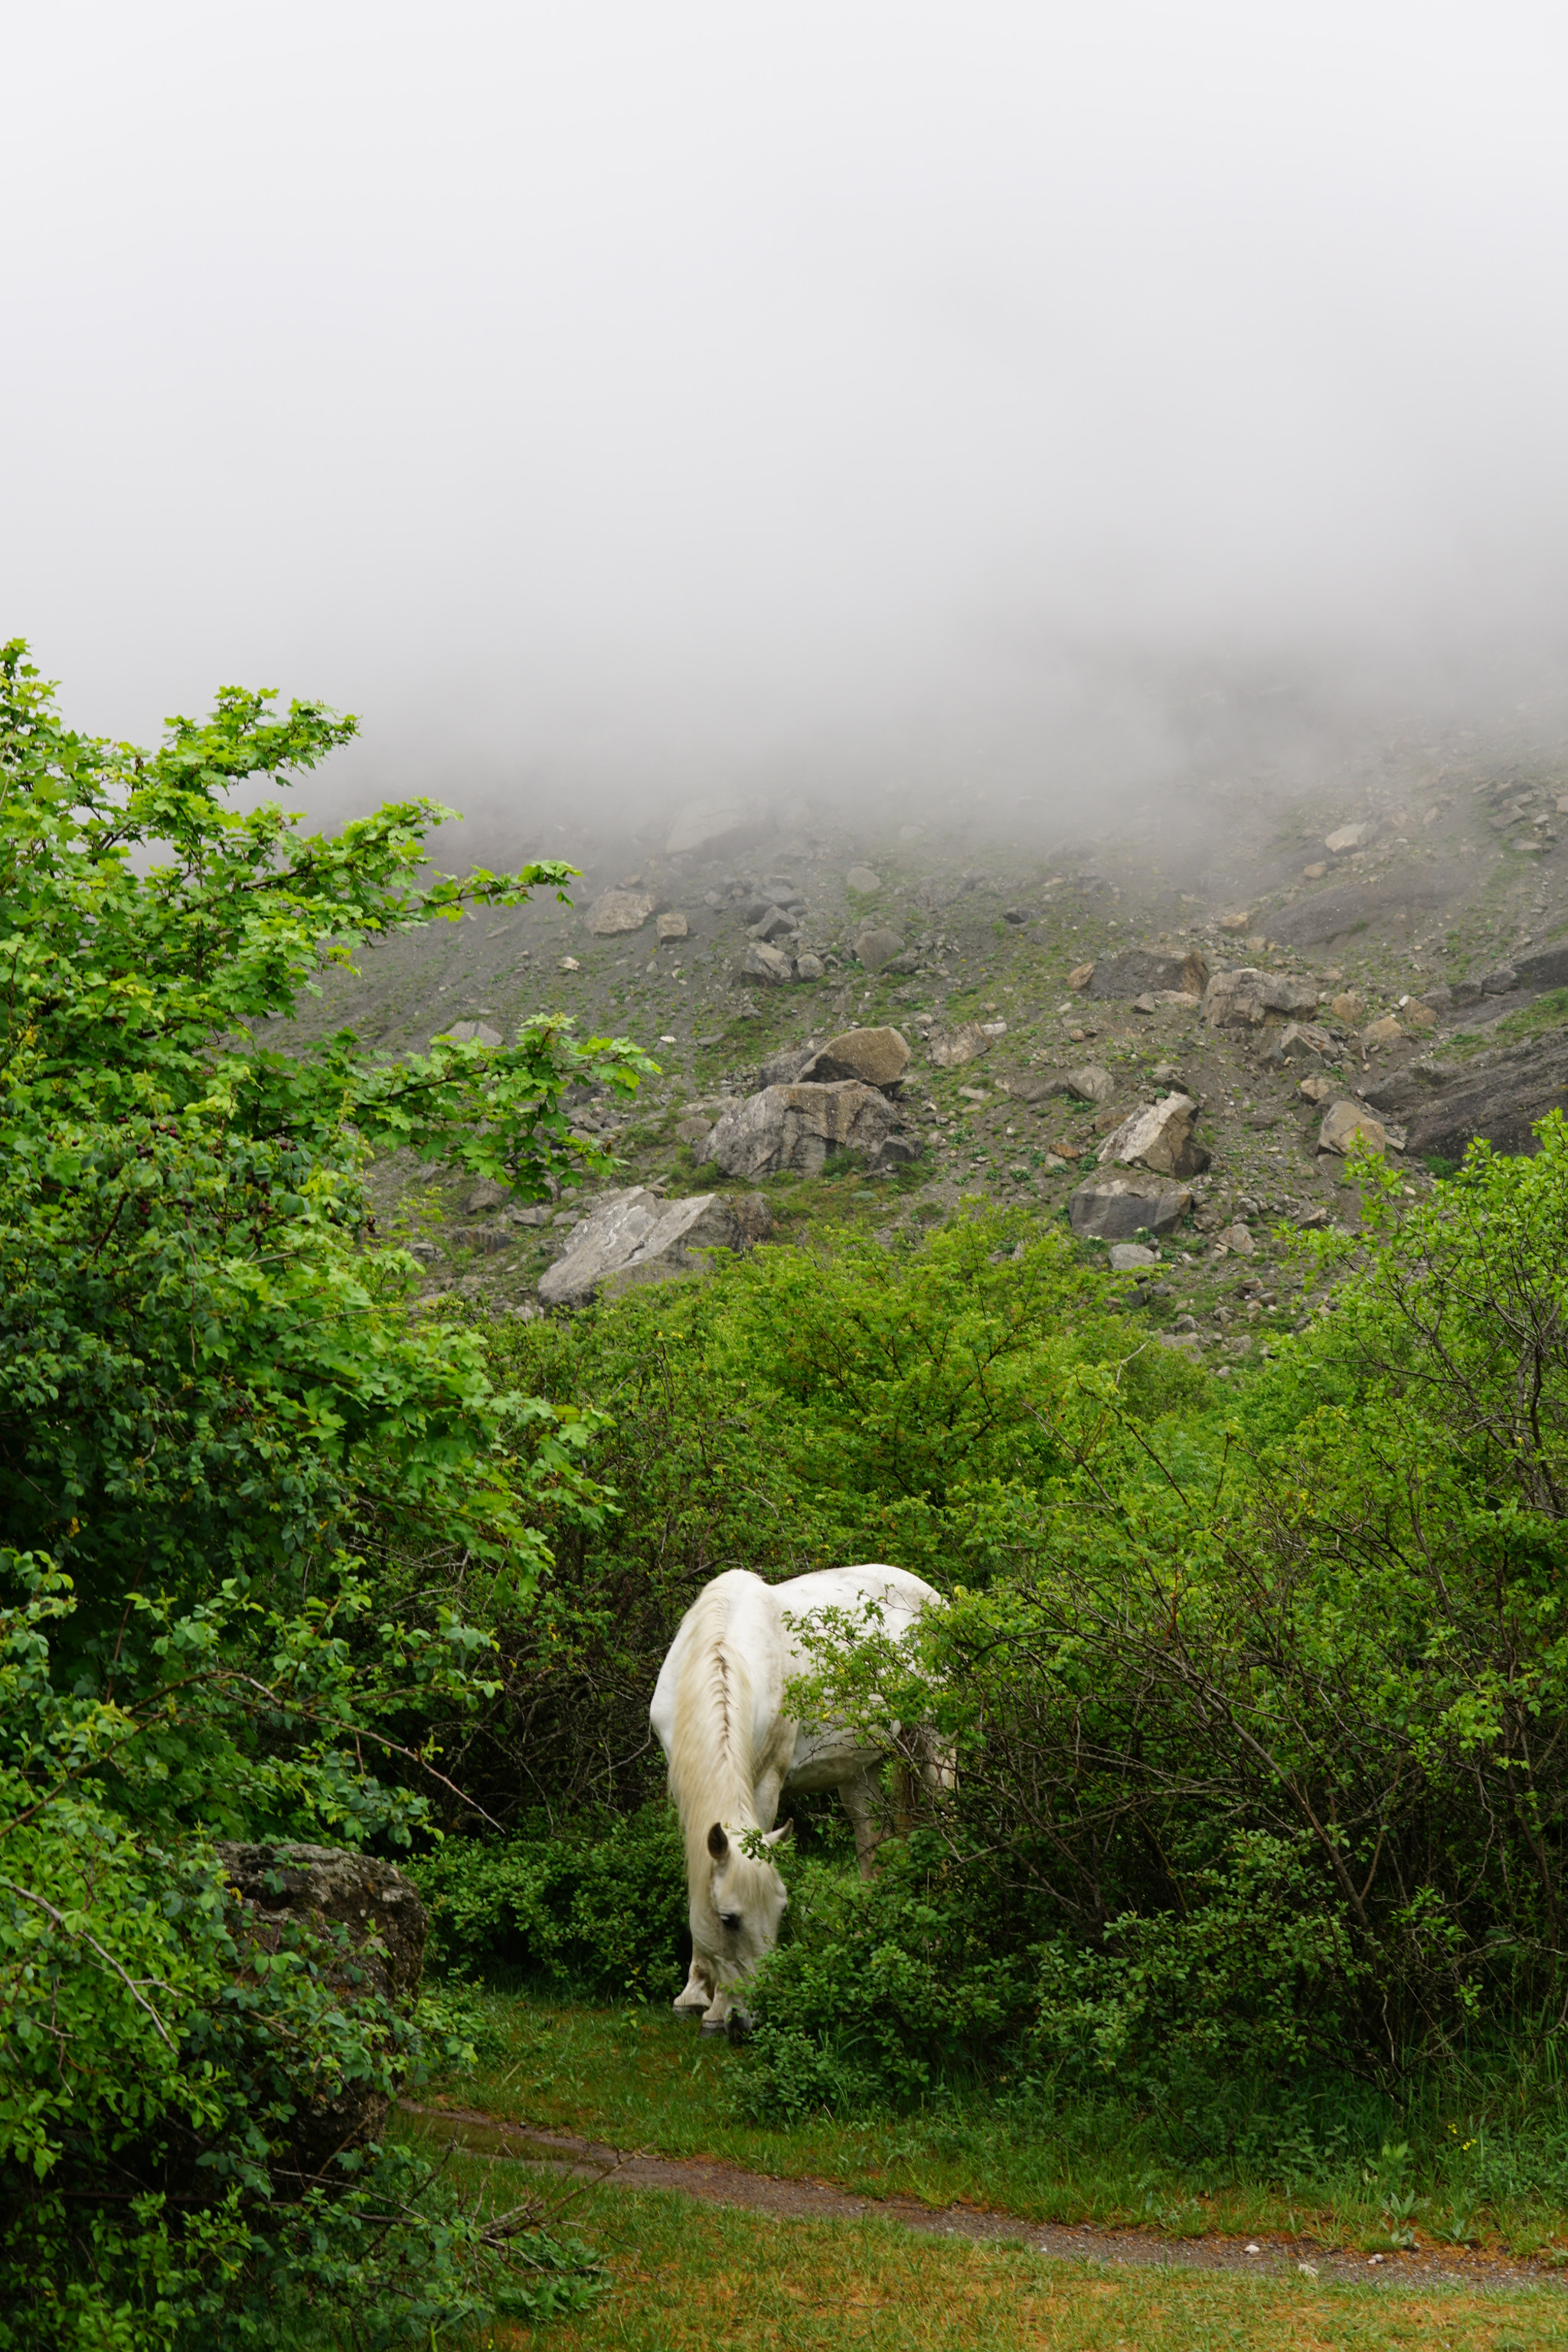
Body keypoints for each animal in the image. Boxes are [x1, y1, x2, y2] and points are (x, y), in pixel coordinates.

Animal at [648, 1552, 945, 2032]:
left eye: (782, 1911)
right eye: (729, 1920)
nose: (747, 2018)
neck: (722, 1651)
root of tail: (935, 1599)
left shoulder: (765, 1781)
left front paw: (713, 2005)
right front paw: (695, 1992)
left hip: (936, 1747)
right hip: (861, 1771)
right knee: (871, 1844)